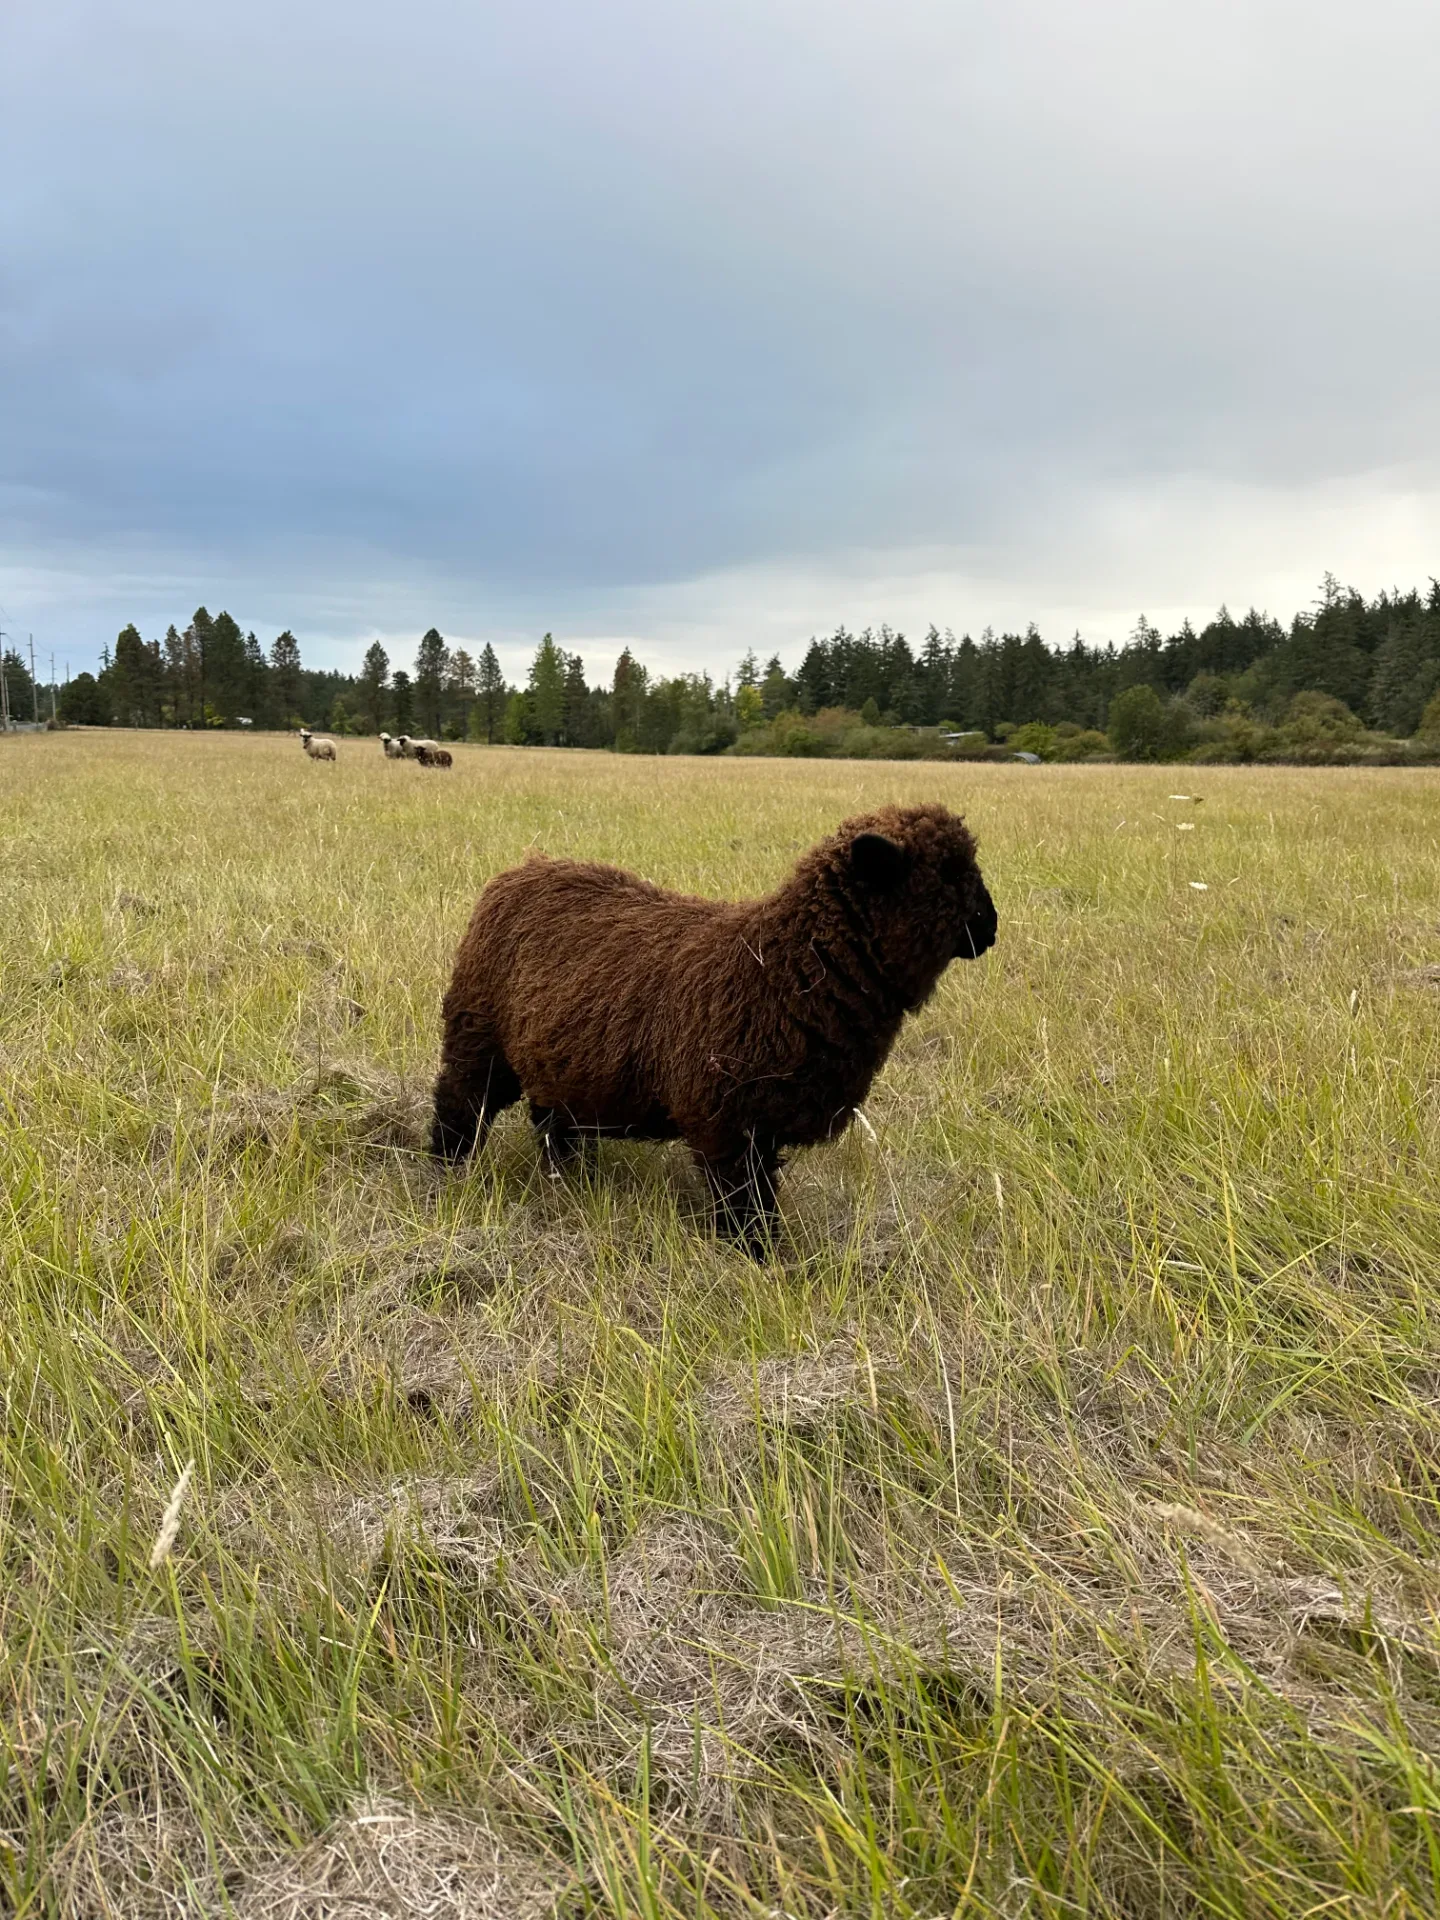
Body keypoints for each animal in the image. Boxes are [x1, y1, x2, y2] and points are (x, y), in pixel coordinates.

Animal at [430, 802, 997, 1249]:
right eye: (948, 873)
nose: (991, 926)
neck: (782, 967)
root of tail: (521, 869)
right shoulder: (728, 1124)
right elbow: (747, 1208)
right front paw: (760, 1261)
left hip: (560, 1060)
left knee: (551, 1122)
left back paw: (567, 1181)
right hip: (477, 1033)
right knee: (459, 1103)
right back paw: (445, 1173)